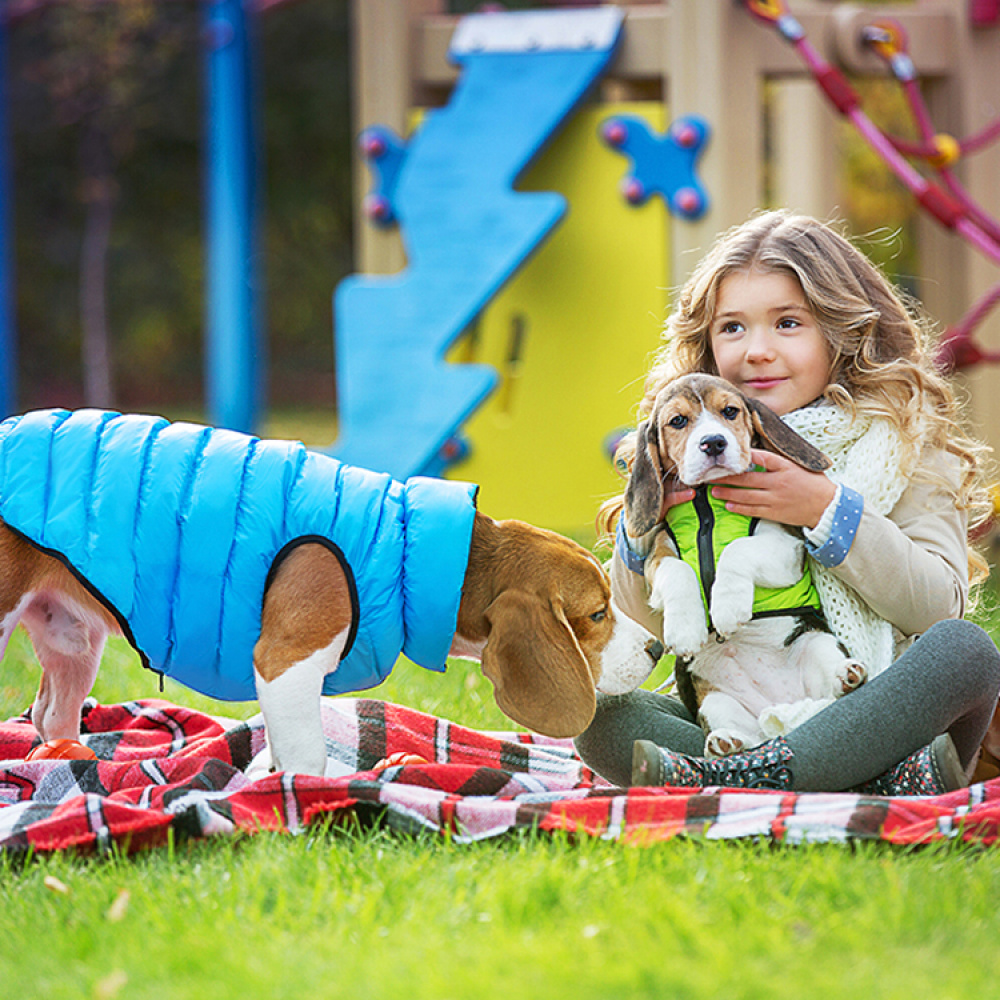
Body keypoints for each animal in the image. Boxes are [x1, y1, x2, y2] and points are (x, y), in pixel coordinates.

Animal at [1, 406, 664, 772]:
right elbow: (309, 756)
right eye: (598, 614)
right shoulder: (285, 662)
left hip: (73, 642)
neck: (409, 548)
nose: (657, 649)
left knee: (50, 716)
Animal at [624, 376, 868, 756]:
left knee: (831, 690)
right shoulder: (658, 557)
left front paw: (726, 608)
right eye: (677, 421)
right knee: (750, 739)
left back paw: (848, 675)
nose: (713, 443)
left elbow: (737, 550)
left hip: (816, 643)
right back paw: (726, 742)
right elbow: (679, 572)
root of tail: (783, 710)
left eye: (729, 411)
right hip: (714, 702)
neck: (708, 501)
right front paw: (686, 629)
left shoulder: (785, 547)